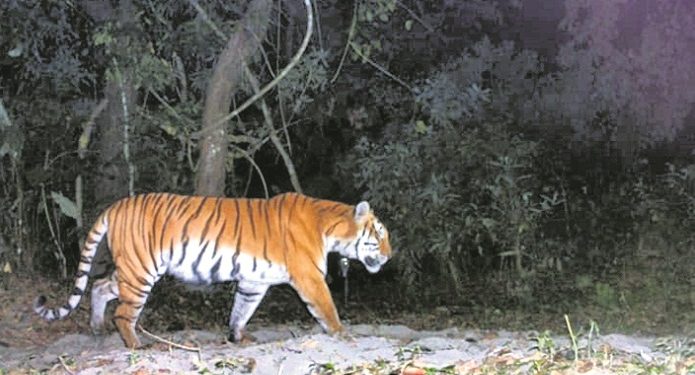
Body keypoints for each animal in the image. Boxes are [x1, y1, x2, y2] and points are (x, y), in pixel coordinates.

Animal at [35, 194, 392, 350]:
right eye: (379, 234)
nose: (390, 256)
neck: (330, 227)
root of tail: (116, 204)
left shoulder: (253, 281)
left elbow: (241, 310)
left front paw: (238, 337)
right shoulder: (309, 277)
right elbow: (328, 309)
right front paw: (343, 334)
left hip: (130, 271)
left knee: (98, 285)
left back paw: (96, 328)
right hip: (141, 271)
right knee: (123, 313)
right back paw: (137, 345)